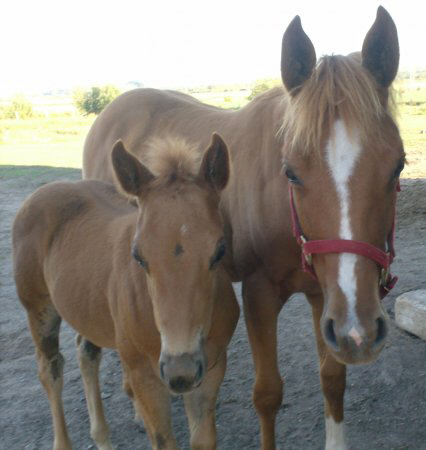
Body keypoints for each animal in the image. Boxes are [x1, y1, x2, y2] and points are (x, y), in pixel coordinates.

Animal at [12, 134, 240, 450]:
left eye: (219, 251)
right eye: (138, 255)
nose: (179, 371)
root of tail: (43, 191)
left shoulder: (211, 368)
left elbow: (203, 440)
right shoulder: (145, 375)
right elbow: (163, 440)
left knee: (86, 351)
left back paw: (102, 436)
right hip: (38, 308)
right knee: (51, 368)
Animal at [81, 7, 404, 450]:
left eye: (398, 167)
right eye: (291, 172)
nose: (361, 334)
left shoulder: (325, 296)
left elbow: (332, 379)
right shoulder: (259, 293)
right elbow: (267, 394)